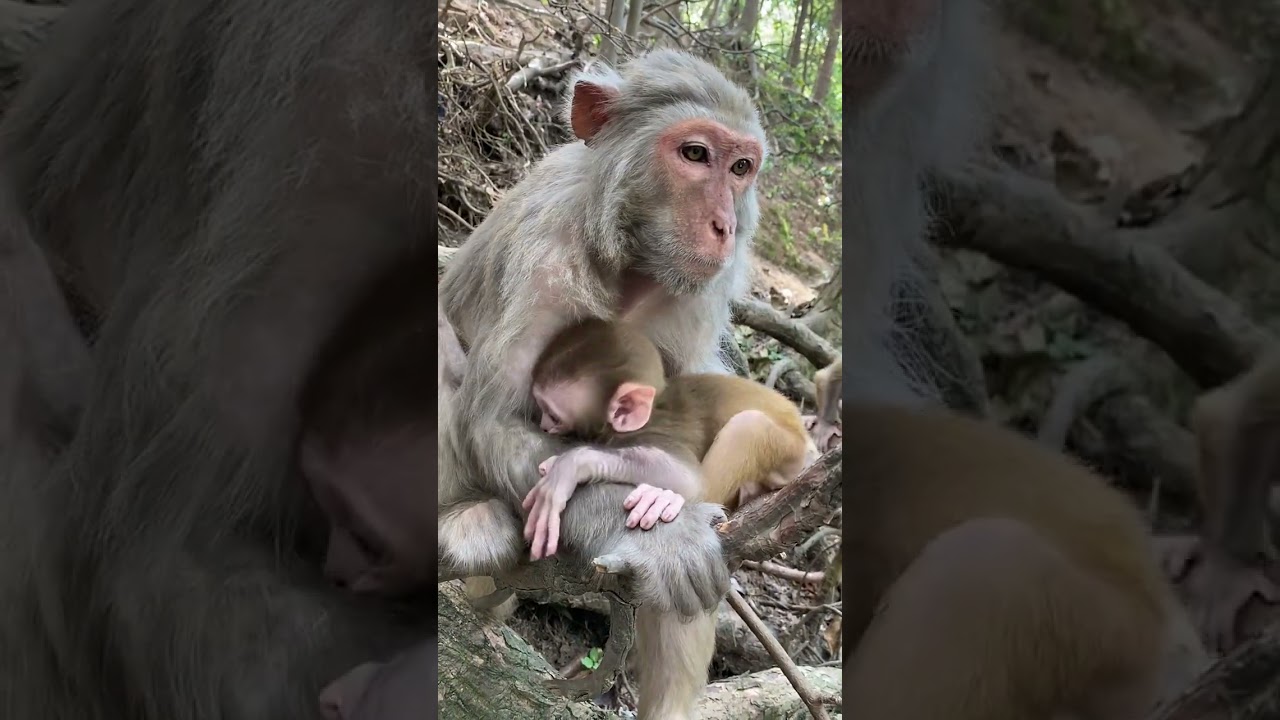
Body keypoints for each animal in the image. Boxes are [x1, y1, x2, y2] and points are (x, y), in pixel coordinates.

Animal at [522, 317, 812, 560]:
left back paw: (664, 497)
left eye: (553, 416)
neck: (653, 408)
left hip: (789, 451)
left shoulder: (662, 432)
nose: (543, 426)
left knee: (746, 427)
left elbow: (688, 478)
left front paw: (568, 466)